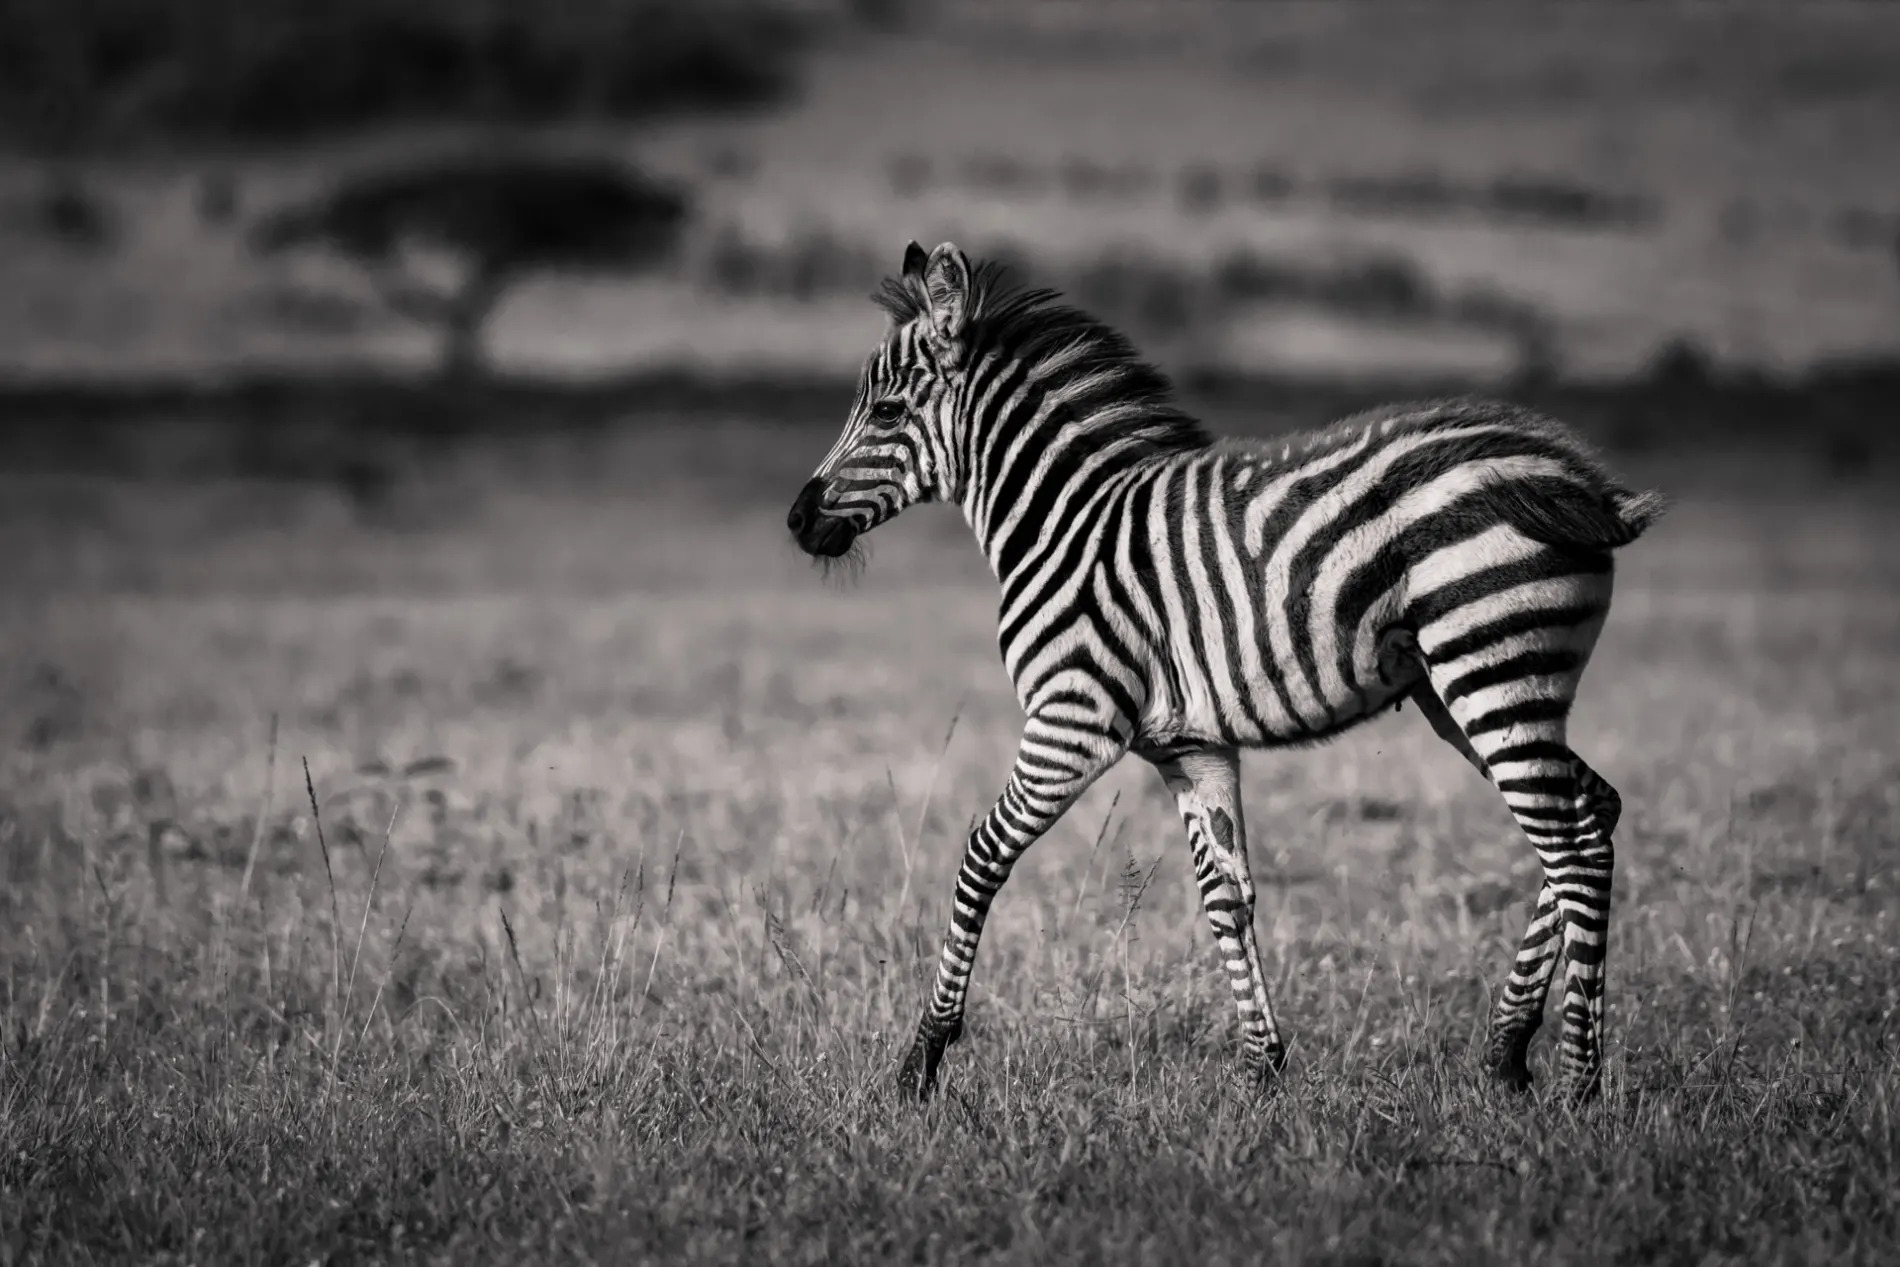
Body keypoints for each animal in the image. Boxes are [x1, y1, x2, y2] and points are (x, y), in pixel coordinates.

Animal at [786, 243, 1664, 1101]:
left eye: (887, 411)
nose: (797, 520)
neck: (1061, 523)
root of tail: (1576, 477)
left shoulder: (1073, 719)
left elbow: (980, 857)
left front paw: (922, 1058)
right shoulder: (1190, 745)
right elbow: (1227, 895)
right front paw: (1259, 1069)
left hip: (1492, 666)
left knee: (1573, 848)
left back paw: (1579, 1084)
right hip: (1477, 688)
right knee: (1591, 812)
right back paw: (1507, 1053)